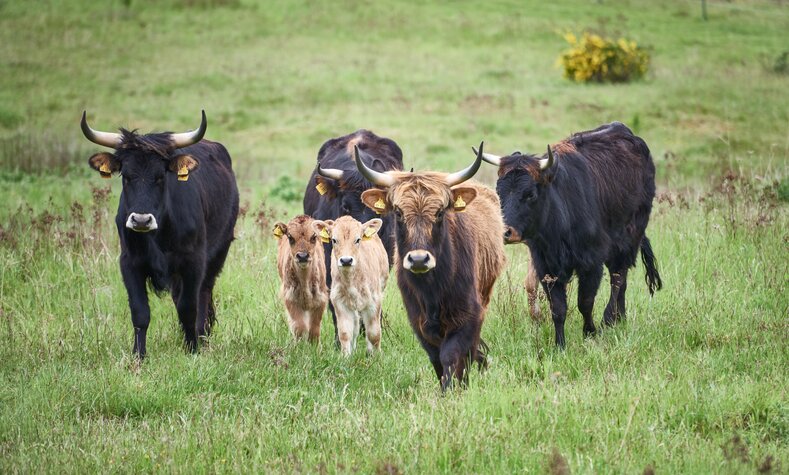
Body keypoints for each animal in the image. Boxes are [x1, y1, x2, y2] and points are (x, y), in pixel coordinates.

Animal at [82, 111, 240, 356]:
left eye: (160, 177)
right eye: (126, 176)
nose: (141, 220)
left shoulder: (193, 262)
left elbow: (188, 307)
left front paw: (192, 349)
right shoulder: (130, 263)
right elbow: (140, 312)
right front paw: (138, 355)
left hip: (217, 254)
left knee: (203, 293)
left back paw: (202, 336)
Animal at [312, 218, 390, 356]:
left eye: (358, 239)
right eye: (334, 240)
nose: (346, 260)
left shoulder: (374, 301)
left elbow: (374, 333)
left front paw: (376, 355)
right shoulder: (339, 301)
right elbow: (345, 332)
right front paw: (346, 356)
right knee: (355, 324)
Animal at [354, 144, 502, 390]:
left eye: (440, 212)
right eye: (398, 212)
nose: (419, 259)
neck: (432, 287)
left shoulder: (469, 315)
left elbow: (453, 354)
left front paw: (453, 388)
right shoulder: (418, 320)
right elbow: (436, 357)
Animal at [478, 121, 660, 348]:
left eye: (530, 194)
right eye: (499, 192)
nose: (506, 232)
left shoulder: (591, 263)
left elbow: (585, 302)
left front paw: (590, 333)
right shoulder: (546, 267)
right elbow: (557, 309)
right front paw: (560, 345)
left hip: (629, 239)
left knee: (618, 277)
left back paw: (610, 318)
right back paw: (621, 318)